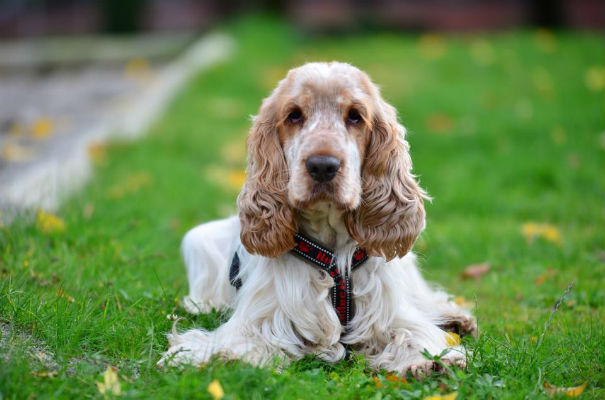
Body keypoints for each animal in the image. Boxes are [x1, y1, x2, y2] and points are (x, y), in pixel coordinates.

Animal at [159, 61, 476, 376]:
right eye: (294, 115)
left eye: (355, 116)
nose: (323, 166)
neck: (330, 246)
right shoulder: (264, 316)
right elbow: (238, 340)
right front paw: (219, 356)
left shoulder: (388, 311)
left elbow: (411, 331)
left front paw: (432, 359)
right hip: (198, 241)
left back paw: (456, 317)